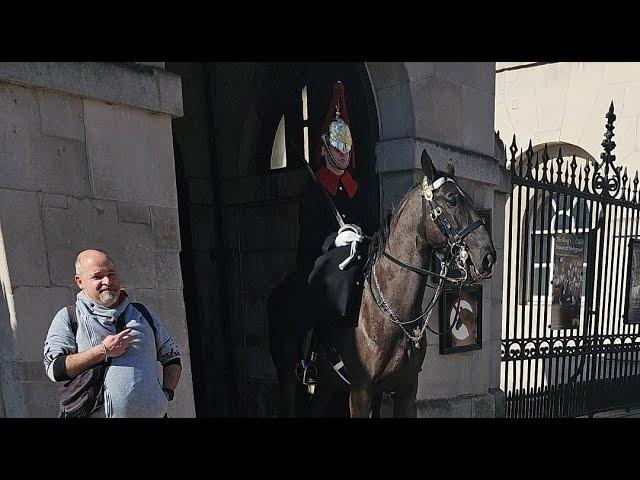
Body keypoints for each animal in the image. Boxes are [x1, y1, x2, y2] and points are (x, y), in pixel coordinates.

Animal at [268, 150, 498, 416]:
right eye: (452, 200)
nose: (488, 256)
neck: (391, 312)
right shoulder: (361, 392)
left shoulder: (407, 389)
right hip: (286, 376)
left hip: (326, 386)